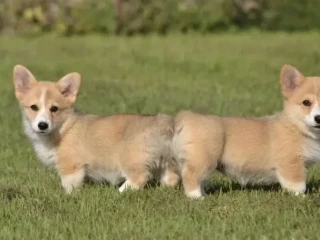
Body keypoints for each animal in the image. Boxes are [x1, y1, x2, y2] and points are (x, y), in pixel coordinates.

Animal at [13, 64, 180, 192]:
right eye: (34, 107)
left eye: (54, 109)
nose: (43, 125)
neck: (63, 129)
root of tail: (163, 123)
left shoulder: (71, 166)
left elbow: (69, 186)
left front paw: (67, 196)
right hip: (163, 160)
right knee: (171, 178)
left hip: (131, 157)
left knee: (138, 178)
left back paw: (120, 192)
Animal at [174, 64, 320, 199]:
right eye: (306, 102)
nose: (318, 118)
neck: (297, 127)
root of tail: (188, 117)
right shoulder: (292, 164)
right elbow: (298, 186)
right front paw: (302, 197)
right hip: (204, 158)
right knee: (190, 175)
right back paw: (197, 197)